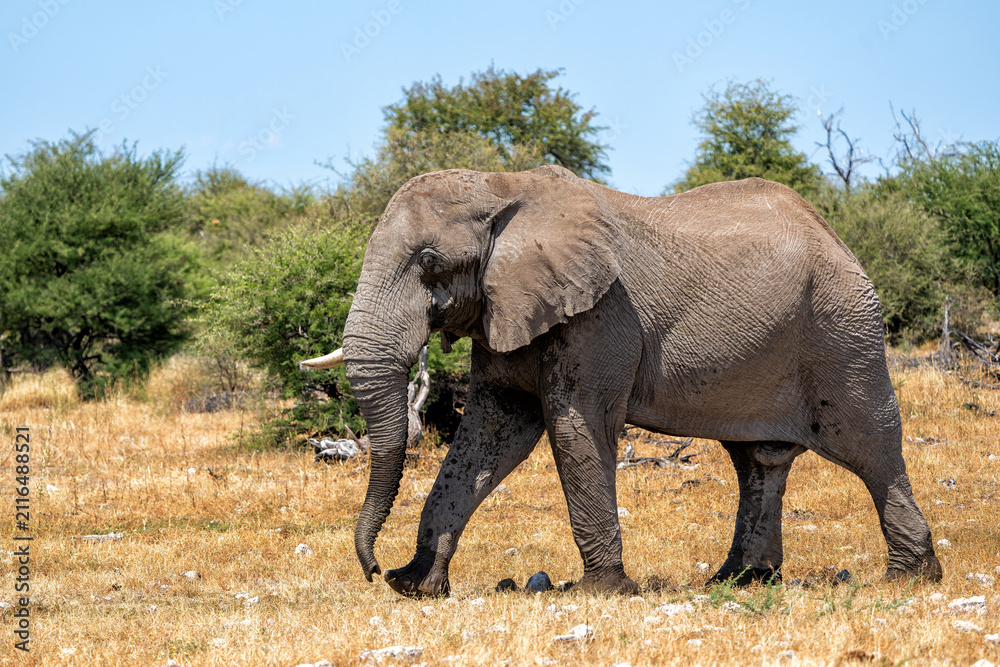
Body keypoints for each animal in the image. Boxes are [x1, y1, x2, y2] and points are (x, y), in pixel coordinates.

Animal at [301, 165, 942, 596]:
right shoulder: (507, 308)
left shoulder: (602, 313)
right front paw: (416, 587)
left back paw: (911, 579)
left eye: (430, 264)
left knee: (870, 444)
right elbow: (491, 433)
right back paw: (740, 582)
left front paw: (601, 591)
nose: (373, 569)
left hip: (843, 330)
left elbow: (574, 425)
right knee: (758, 459)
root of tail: (835, 234)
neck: (502, 184)